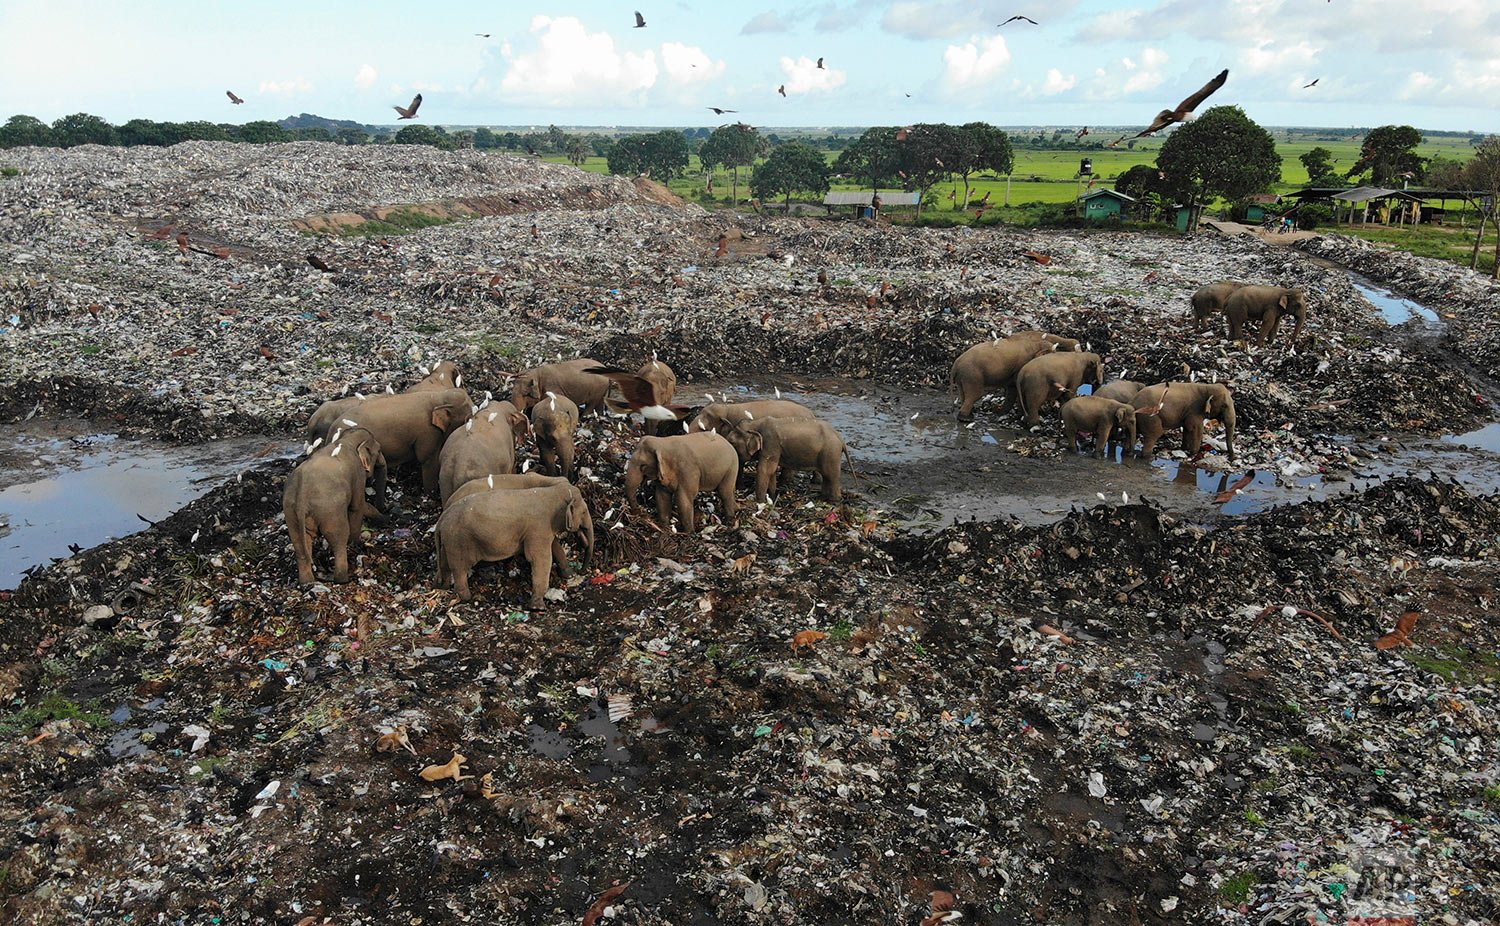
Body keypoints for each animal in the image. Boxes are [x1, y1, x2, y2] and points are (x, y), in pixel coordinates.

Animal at [282, 429, 384, 585]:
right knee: (338, 538)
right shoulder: (358, 475)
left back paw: (307, 582)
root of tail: (302, 495)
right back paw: (342, 579)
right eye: (378, 450)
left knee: (299, 544)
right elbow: (357, 506)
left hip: (291, 513)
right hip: (330, 510)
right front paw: (357, 542)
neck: (346, 440)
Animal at [435, 480, 585, 603]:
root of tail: (440, 520)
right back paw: (467, 598)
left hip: (447, 542)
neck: (550, 492)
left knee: (445, 564)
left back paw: (443, 587)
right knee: (459, 569)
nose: (582, 571)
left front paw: (569, 575)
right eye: (584, 512)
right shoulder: (538, 528)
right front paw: (537, 606)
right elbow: (540, 559)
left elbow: (554, 547)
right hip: (457, 541)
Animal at [948, 330, 1080, 420]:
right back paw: (965, 418)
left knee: (964, 394)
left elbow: (1012, 388)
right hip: (972, 375)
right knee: (975, 394)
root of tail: (955, 364)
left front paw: (1002, 413)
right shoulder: (1022, 365)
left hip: (964, 377)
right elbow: (1017, 388)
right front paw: (1021, 415)